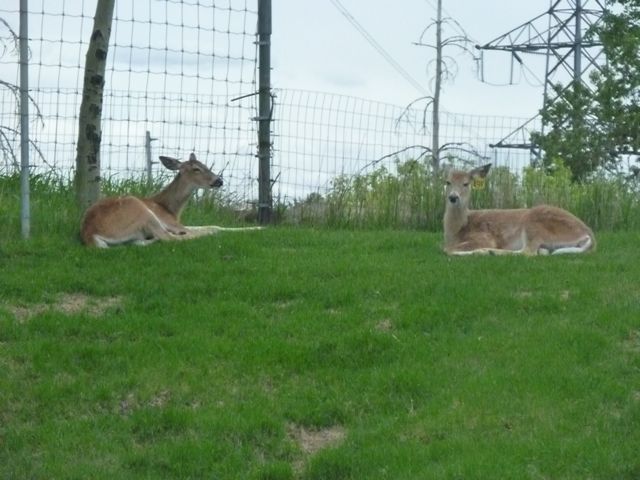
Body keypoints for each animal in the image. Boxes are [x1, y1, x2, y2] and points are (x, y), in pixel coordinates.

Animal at [81, 152, 262, 247]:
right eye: (196, 169)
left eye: (205, 165)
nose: (219, 181)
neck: (170, 208)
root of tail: (90, 234)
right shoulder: (170, 222)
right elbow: (210, 228)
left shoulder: (176, 222)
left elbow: (214, 224)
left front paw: (258, 227)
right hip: (141, 210)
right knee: (170, 238)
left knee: (139, 242)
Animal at [443, 163, 595, 256]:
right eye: (447, 182)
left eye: (466, 183)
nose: (453, 197)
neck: (457, 230)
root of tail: (590, 235)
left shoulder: (485, 237)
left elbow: (446, 249)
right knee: (540, 252)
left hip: (534, 224)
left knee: (527, 252)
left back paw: (485, 252)